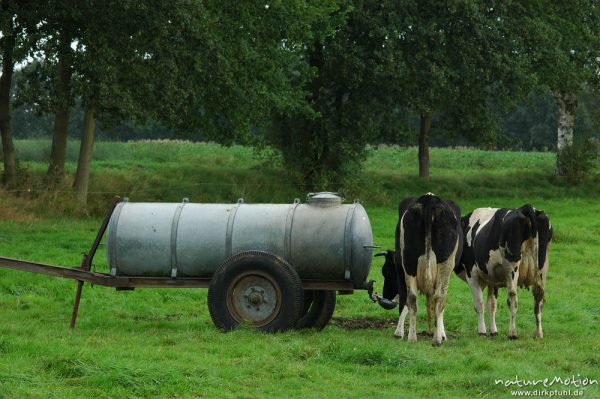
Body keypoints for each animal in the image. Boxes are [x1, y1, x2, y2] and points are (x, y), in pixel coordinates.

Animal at [376, 194, 464, 346]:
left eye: (386, 272)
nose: (386, 295)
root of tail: (429, 199)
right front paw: (440, 333)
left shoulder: (400, 270)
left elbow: (405, 302)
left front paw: (399, 332)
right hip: (444, 264)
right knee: (438, 298)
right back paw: (434, 339)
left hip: (410, 264)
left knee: (414, 298)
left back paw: (414, 337)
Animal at [460, 206, 552, 340]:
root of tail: (526, 208)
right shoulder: (492, 278)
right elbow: (492, 305)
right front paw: (493, 331)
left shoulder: (472, 274)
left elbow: (479, 304)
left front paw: (482, 331)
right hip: (542, 268)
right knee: (538, 300)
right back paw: (538, 333)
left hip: (512, 268)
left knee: (513, 298)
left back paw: (512, 333)